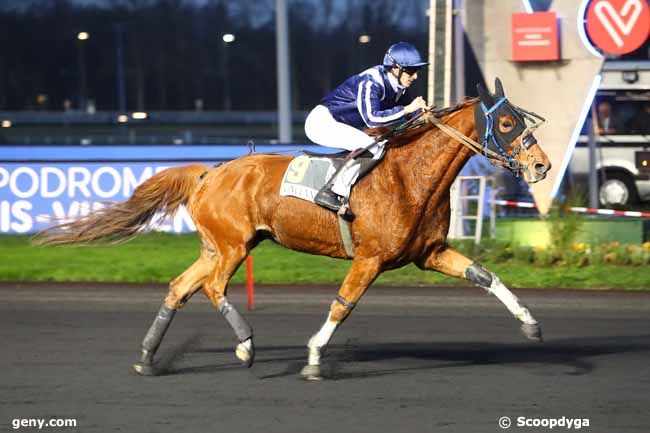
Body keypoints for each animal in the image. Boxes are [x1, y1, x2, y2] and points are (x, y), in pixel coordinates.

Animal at [35, 77, 548, 378]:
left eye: (519, 118)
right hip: (233, 246)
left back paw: (147, 357)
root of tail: (209, 174)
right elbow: (343, 304)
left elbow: (487, 277)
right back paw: (245, 345)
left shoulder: (430, 253)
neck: (409, 176)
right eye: (506, 122)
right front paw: (315, 358)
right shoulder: (371, 258)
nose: (541, 165)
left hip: (217, 246)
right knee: (214, 288)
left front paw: (531, 325)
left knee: (180, 287)